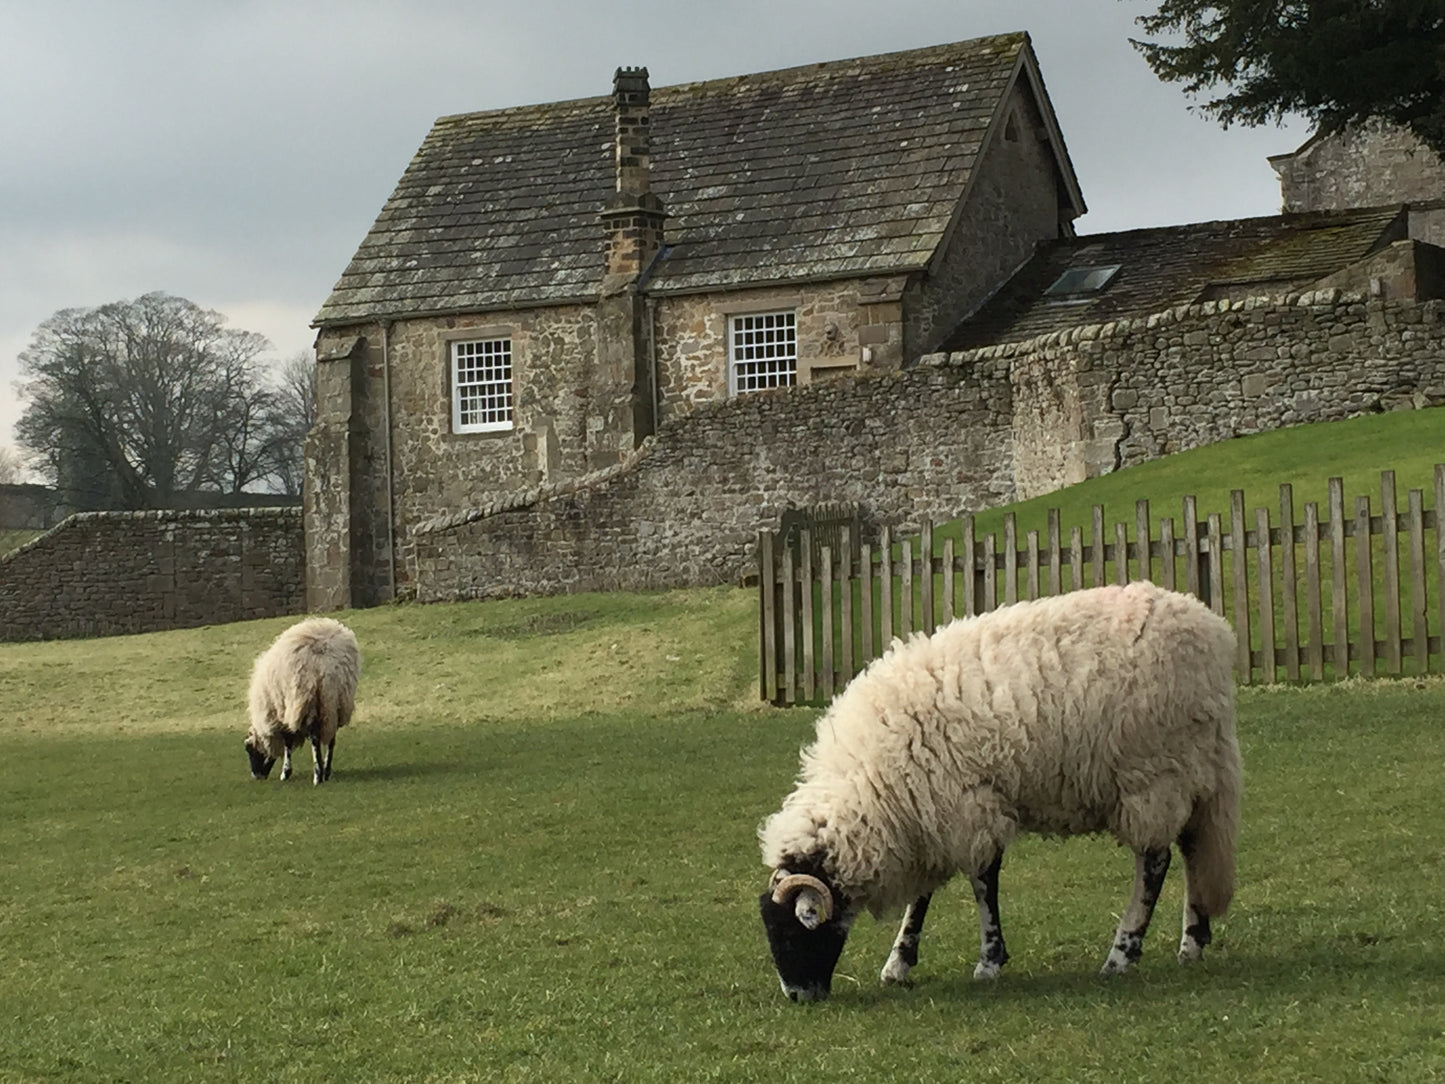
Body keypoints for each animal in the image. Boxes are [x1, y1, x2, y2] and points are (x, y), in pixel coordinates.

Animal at [242, 618, 361, 792]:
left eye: (249, 749)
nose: (256, 776)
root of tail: (325, 661)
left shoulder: (282, 712)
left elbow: (288, 742)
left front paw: (286, 772)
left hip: (307, 699)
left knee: (314, 738)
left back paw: (318, 775)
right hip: (336, 702)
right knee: (331, 738)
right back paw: (326, 771)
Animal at [757, 581, 1242, 1005]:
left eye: (794, 929)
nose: (797, 996)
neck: (869, 784)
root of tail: (1212, 631)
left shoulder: (966, 805)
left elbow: (982, 883)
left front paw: (989, 960)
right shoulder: (929, 814)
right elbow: (923, 896)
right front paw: (899, 962)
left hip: (1153, 773)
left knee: (1155, 863)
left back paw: (1122, 953)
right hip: (1191, 771)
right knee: (1194, 849)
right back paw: (1191, 943)